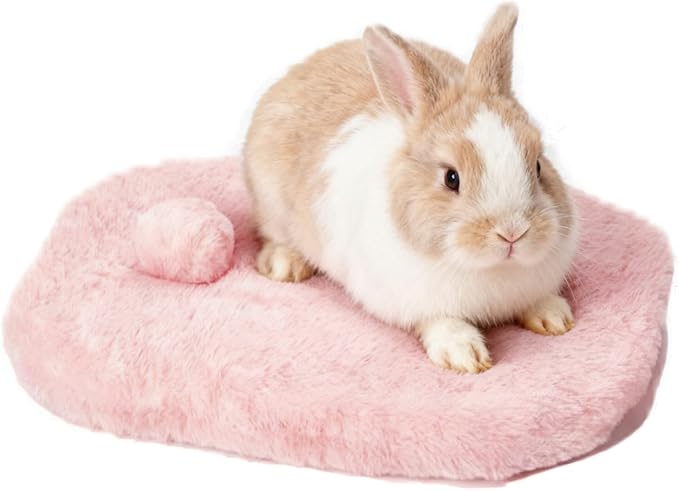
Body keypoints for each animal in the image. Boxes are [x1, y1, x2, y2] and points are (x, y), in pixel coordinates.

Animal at [243, 3, 578, 373]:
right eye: (451, 178)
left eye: (538, 165)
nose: (512, 232)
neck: (489, 269)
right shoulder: (415, 302)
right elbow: (441, 322)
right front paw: (464, 354)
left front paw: (554, 317)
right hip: (269, 200)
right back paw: (285, 266)